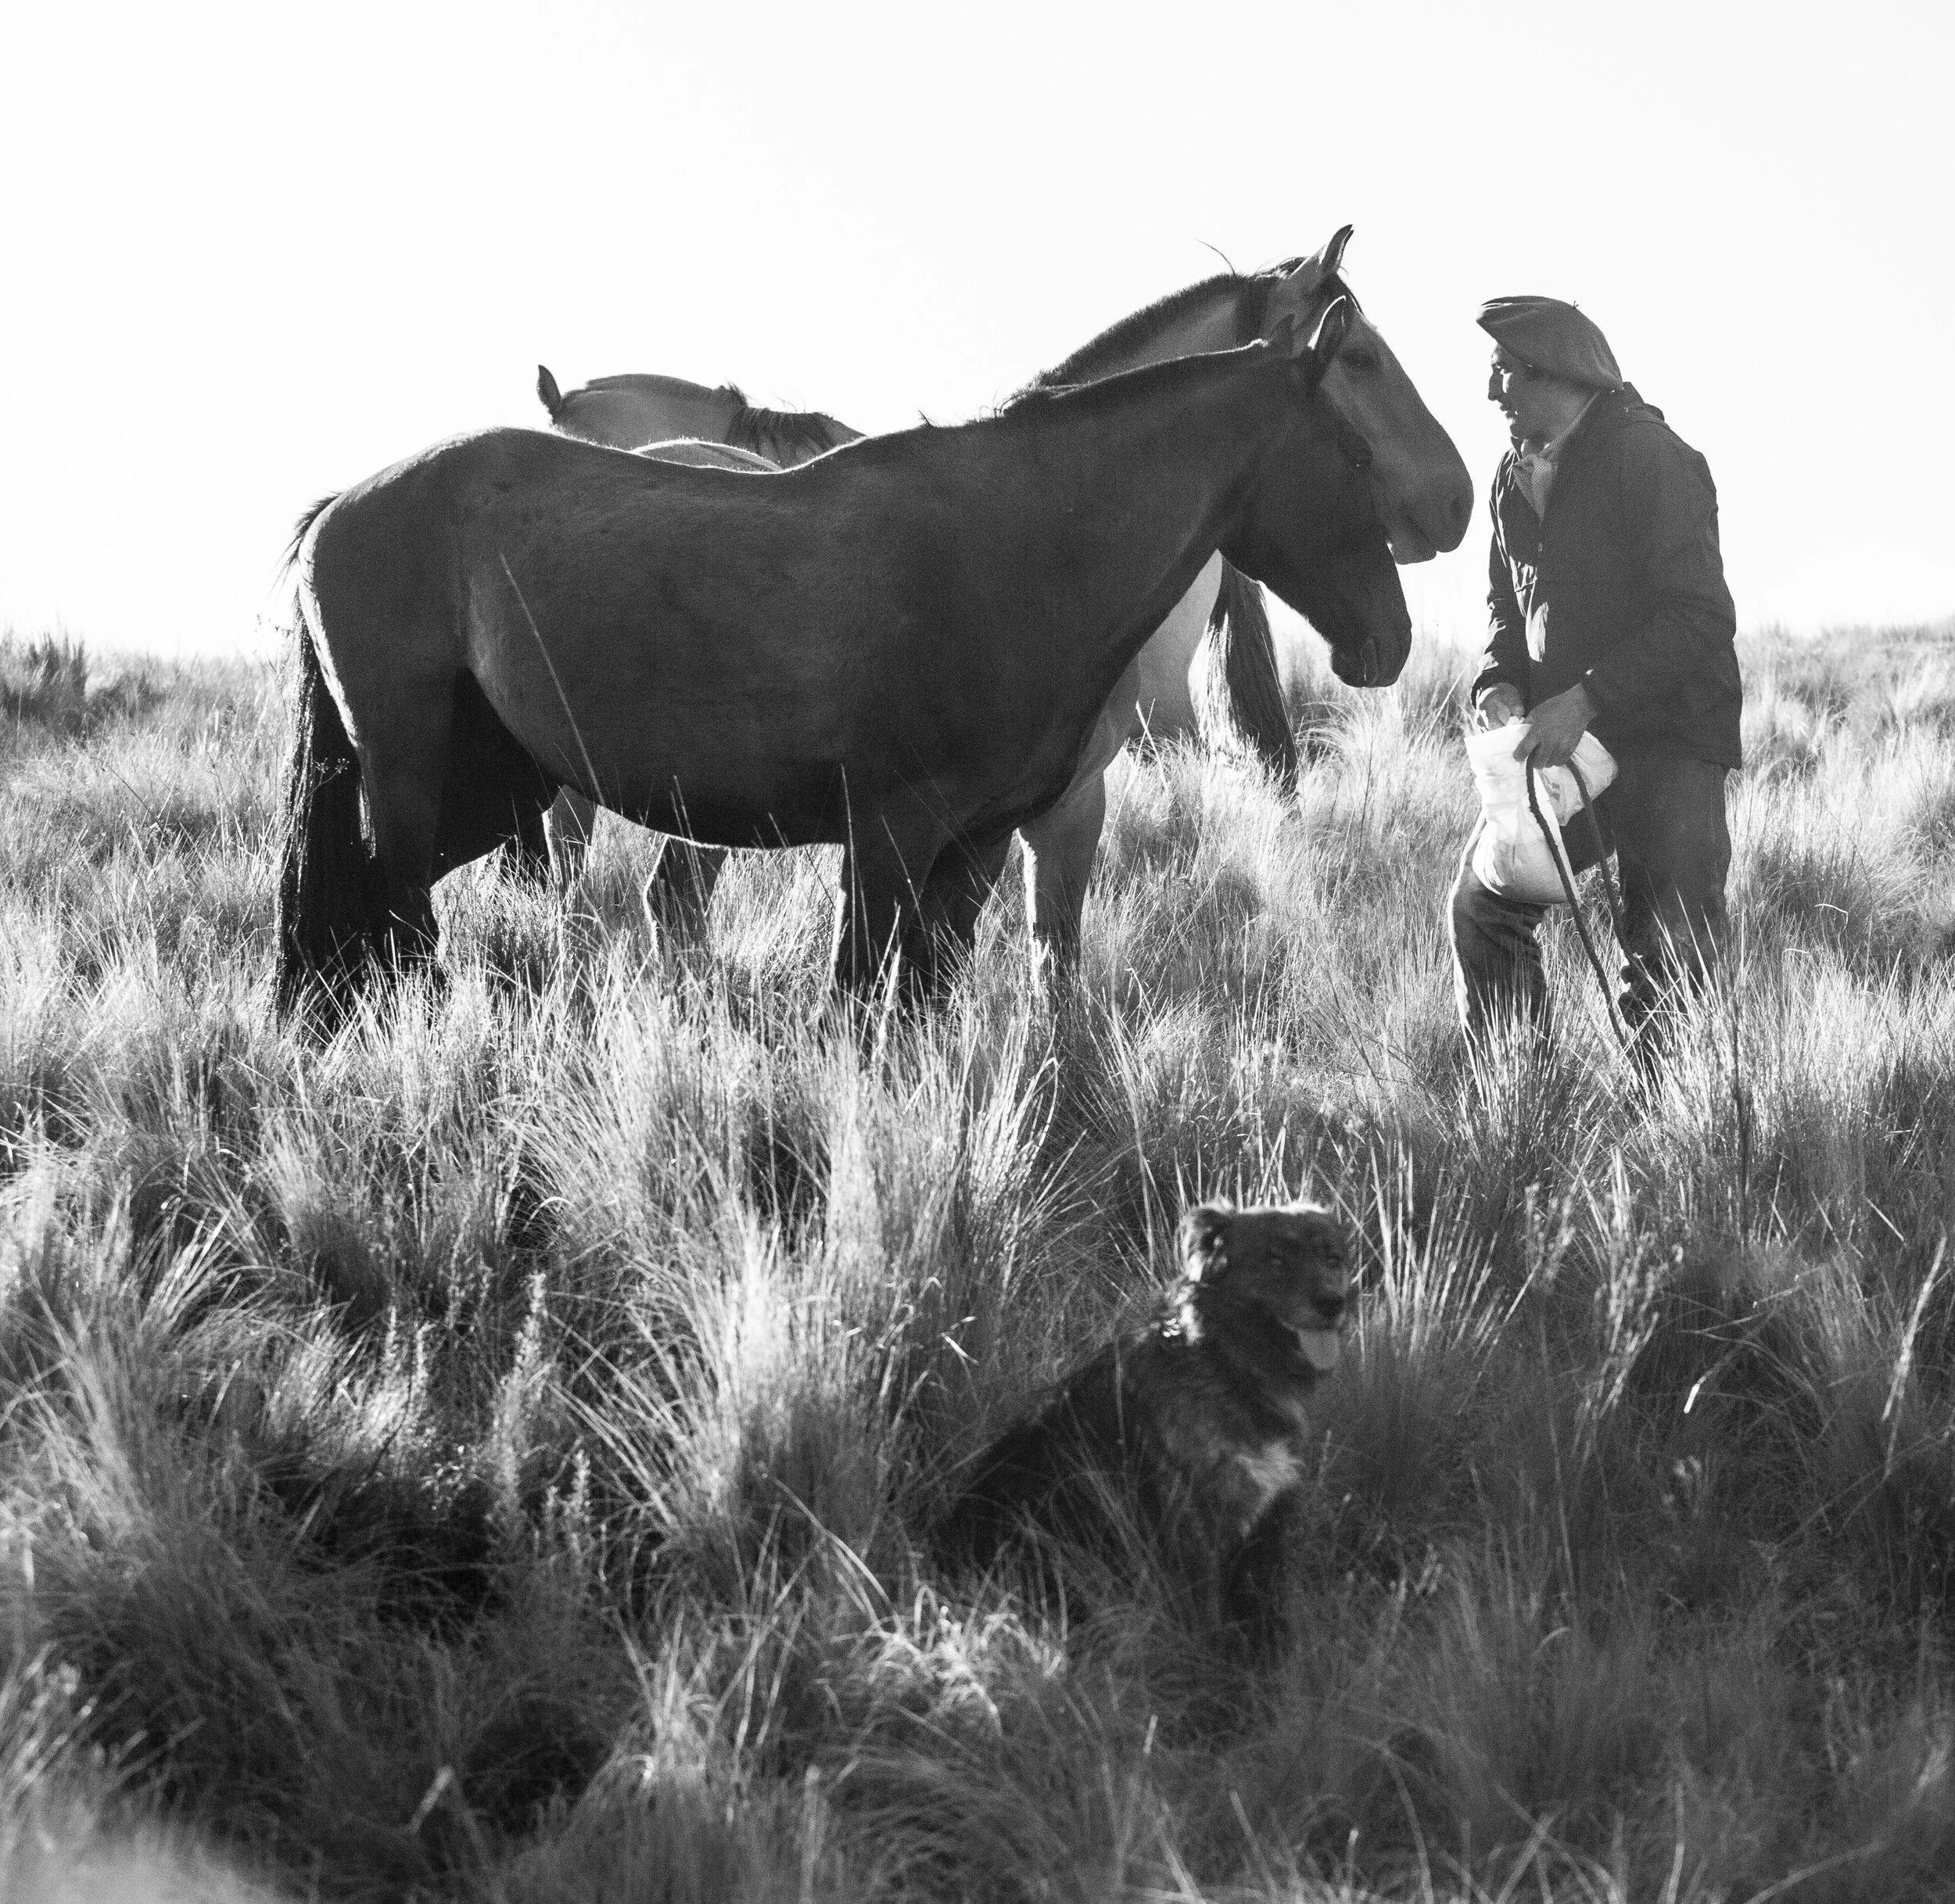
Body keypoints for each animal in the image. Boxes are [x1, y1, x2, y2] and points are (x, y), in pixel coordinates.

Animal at [274, 301, 1409, 1022]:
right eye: (1355, 455)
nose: (1387, 641)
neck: (1018, 544)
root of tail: (342, 505)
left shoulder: (971, 850)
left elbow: (920, 1011)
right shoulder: (887, 839)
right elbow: (858, 1010)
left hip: (492, 793)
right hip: (417, 783)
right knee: (399, 922)